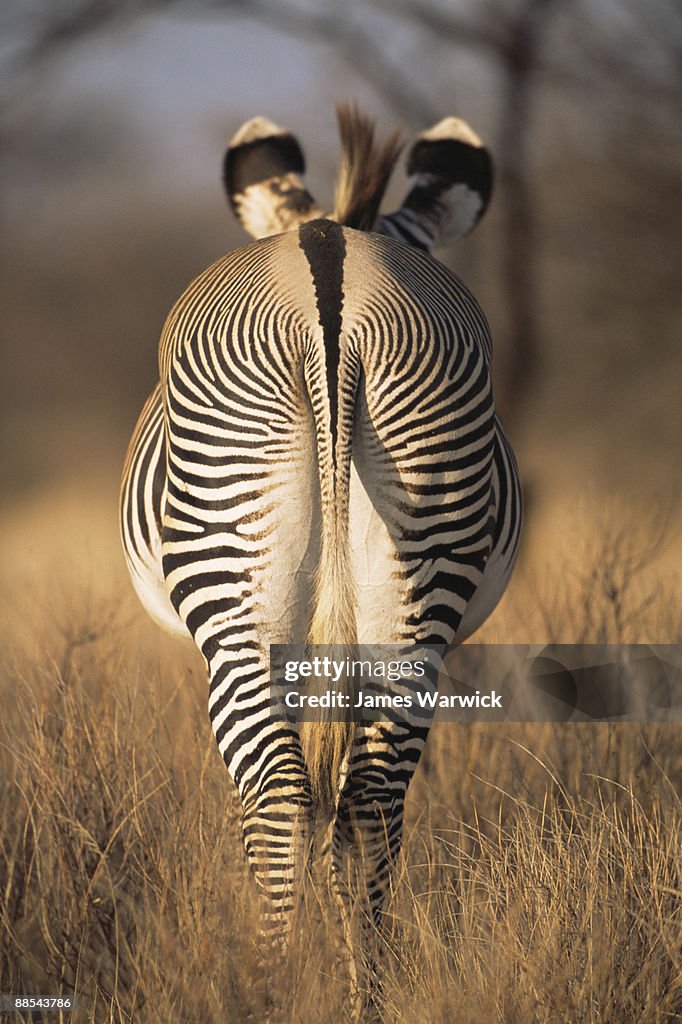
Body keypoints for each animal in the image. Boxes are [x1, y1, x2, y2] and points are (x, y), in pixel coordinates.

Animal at [120, 104, 522, 1016]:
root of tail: (331, 283)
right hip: (421, 541)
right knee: (366, 802)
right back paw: (362, 995)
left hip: (233, 590)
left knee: (278, 799)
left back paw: (268, 988)